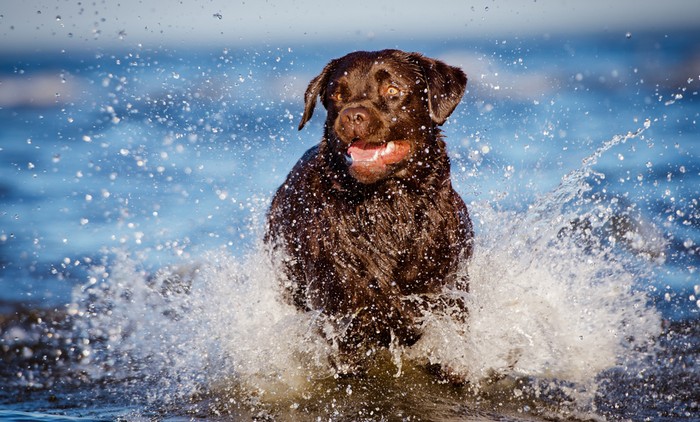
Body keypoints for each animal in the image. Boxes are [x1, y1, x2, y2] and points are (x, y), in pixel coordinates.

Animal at [266, 49, 474, 372]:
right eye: (337, 94)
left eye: (392, 90)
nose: (352, 116)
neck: (387, 206)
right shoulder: (341, 314)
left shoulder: (447, 295)